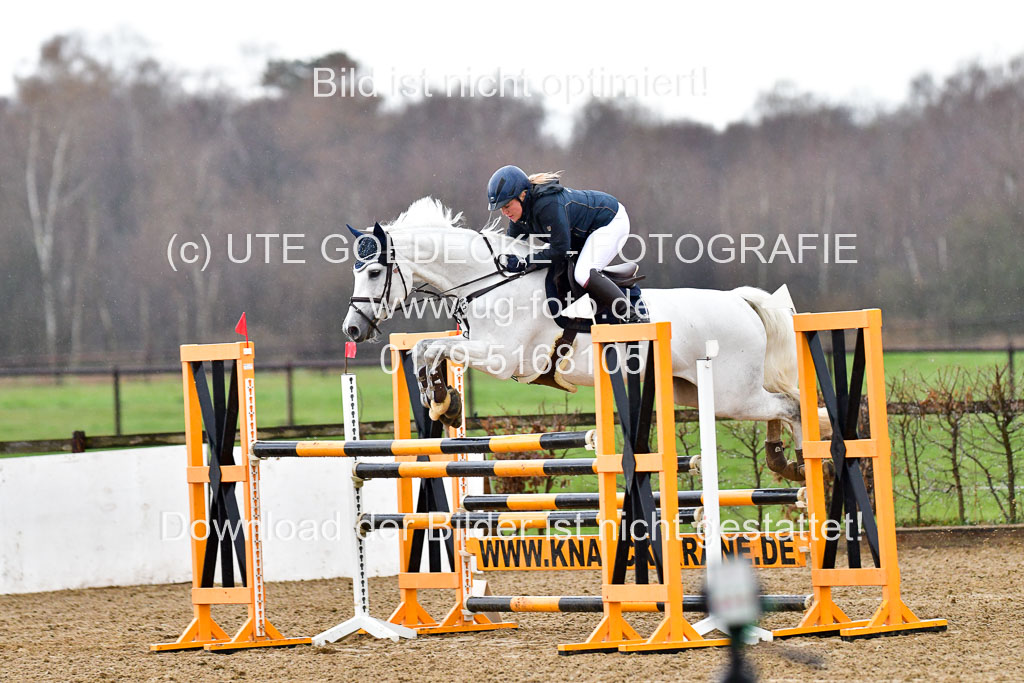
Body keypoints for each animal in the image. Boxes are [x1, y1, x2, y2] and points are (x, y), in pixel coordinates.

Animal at [339, 196, 819, 481]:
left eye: (375, 271)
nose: (352, 329)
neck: (489, 282)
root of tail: (742, 302)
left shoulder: (503, 357)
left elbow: (436, 346)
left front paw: (442, 400)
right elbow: (425, 348)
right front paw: (442, 401)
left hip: (730, 394)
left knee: (789, 405)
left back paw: (797, 463)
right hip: (697, 392)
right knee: (779, 405)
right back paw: (784, 461)